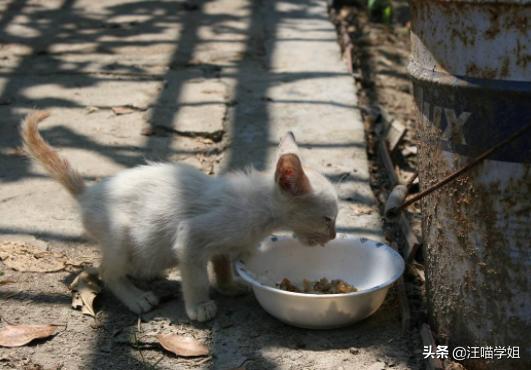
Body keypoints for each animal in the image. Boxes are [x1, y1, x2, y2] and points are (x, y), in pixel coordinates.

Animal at [20, 111, 338, 322]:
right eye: (328, 219)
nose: (334, 235)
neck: (261, 212)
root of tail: (88, 194)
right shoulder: (192, 236)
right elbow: (195, 277)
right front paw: (199, 307)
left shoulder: (222, 244)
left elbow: (221, 263)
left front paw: (228, 286)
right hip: (120, 232)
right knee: (107, 271)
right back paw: (136, 297)